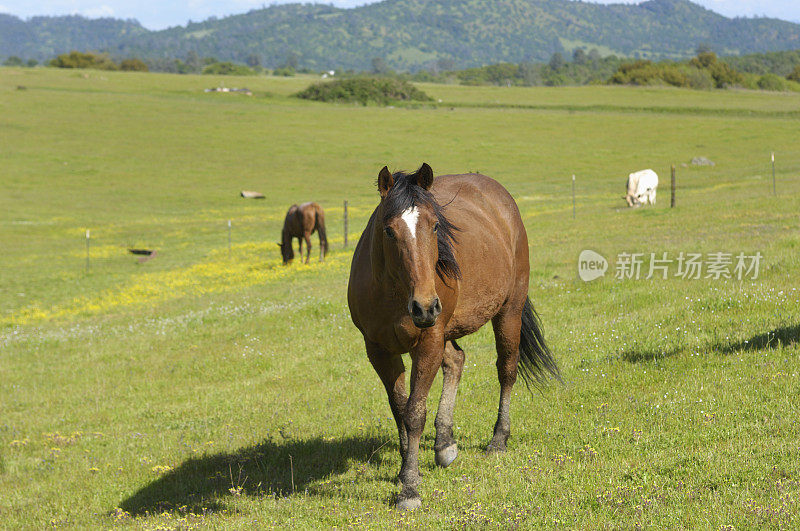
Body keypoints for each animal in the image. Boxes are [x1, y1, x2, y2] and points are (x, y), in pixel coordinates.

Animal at [346, 163, 560, 512]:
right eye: (389, 231)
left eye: (435, 226)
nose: (425, 306)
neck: (393, 292)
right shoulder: (378, 349)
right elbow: (399, 407)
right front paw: (407, 468)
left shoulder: (429, 341)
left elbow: (414, 413)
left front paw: (409, 488)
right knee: (457, 361)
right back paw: (444, 443)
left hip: (507, 312)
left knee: (506, 370)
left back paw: (498, 439)